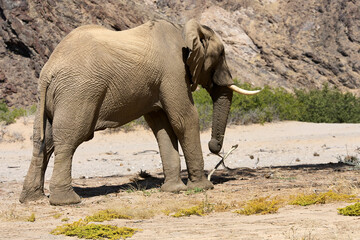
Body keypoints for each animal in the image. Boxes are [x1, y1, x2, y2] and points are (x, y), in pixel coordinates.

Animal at [19, 19, 258, 205]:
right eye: (222, 53)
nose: (215, 147)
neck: (184, 30)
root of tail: (48, 72)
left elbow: (162, 127)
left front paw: (174, 190)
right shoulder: (174, 72)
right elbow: (185, 119)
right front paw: (202, 187)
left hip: (51, 99)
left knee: (43, 141)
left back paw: (32, 199)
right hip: (78, 92)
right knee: (68, 140)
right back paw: (67, 201)